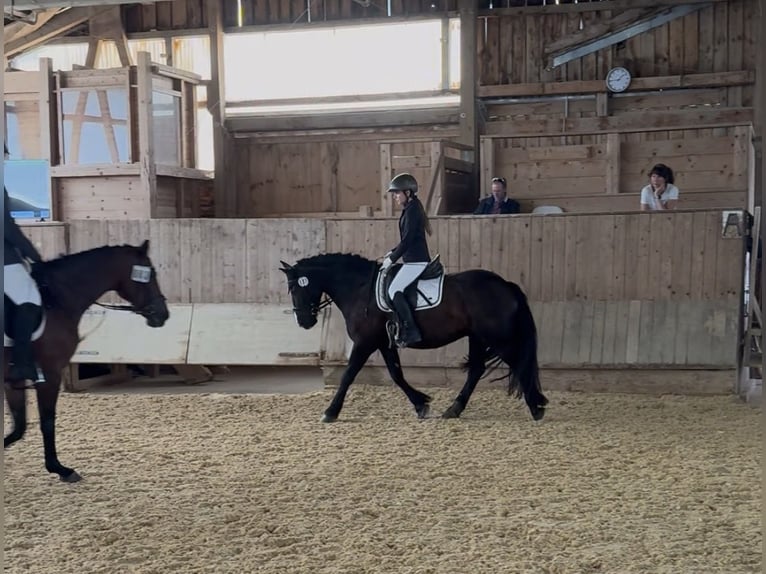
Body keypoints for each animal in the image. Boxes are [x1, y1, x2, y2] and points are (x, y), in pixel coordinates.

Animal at [4, 240, 170, 482]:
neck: (57, 300)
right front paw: (60, 469)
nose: (163, 314)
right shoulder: (50, 374)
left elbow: (19, 427)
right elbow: (47, 422)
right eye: (152, 273)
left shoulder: (13, 380)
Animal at [279, 252, 547, 423]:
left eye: (294, 287)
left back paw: (536, 405)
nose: (304, 322)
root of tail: (505, 284)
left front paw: (330, 412)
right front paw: (421, 404)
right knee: (477, 369)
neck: (359, 288)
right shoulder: (383, 342)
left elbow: (348, 375)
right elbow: (396, 374)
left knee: (518, 365)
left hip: (497, 338)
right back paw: (455, 409)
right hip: (479, 337)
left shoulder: (365, 342)